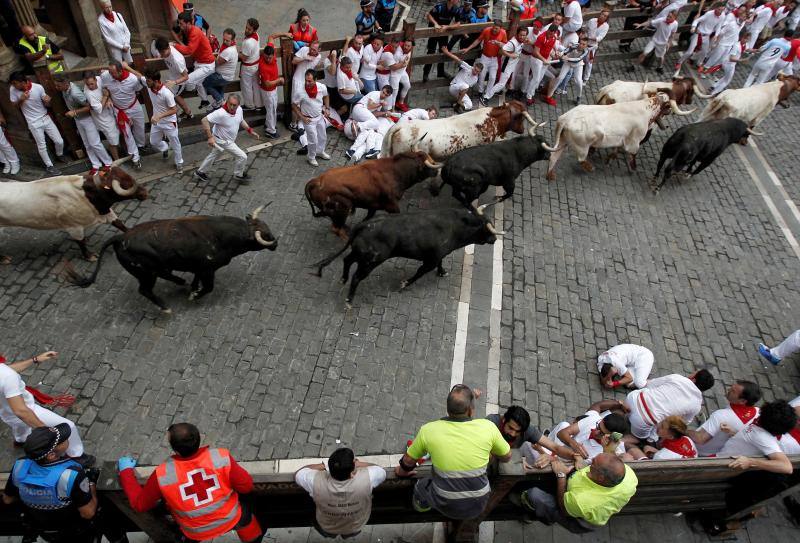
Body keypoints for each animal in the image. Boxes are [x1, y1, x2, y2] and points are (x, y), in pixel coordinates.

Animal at [0, 169, 147, 264]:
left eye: (129, 177)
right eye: (125, 185)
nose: (145, 193)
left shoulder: (105, 211)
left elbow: (119, 224)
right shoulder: (73, 227)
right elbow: (80, 242)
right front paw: (89, 256)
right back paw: (4, 259)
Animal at [66, 205, 278, 314]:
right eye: (265, 235)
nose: (275, 243)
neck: (220, 236)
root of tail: (120, 238)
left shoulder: (198, 268)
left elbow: (196, 280)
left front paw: (192, 288)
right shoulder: (208, 270)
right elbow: (208, 288)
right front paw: (194, 296)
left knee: (165, 274)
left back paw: (180, 281)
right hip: (146, 273)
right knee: (145, 290)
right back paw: (165, 307)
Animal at [306, 152, 444, 239]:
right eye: (430, 163)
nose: (438, 171)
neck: (395, 172)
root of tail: (317, 181)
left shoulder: (372, 205)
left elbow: (368, 218)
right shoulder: (392, 205)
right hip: (343, 209)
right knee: (335, 228)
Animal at [314, 207, 506, 306]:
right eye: (487, 229)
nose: (495, 239)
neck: (455, 227)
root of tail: (365, 224)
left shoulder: (437, 256)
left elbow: (440, 263)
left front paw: (442, 272)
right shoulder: (430, 261)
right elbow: (420, 273)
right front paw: (404, 283)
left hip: (359, 254)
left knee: (346, 260)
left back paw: (343, 279)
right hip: (371, 261)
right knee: (356, 276)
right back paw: (349, 299)